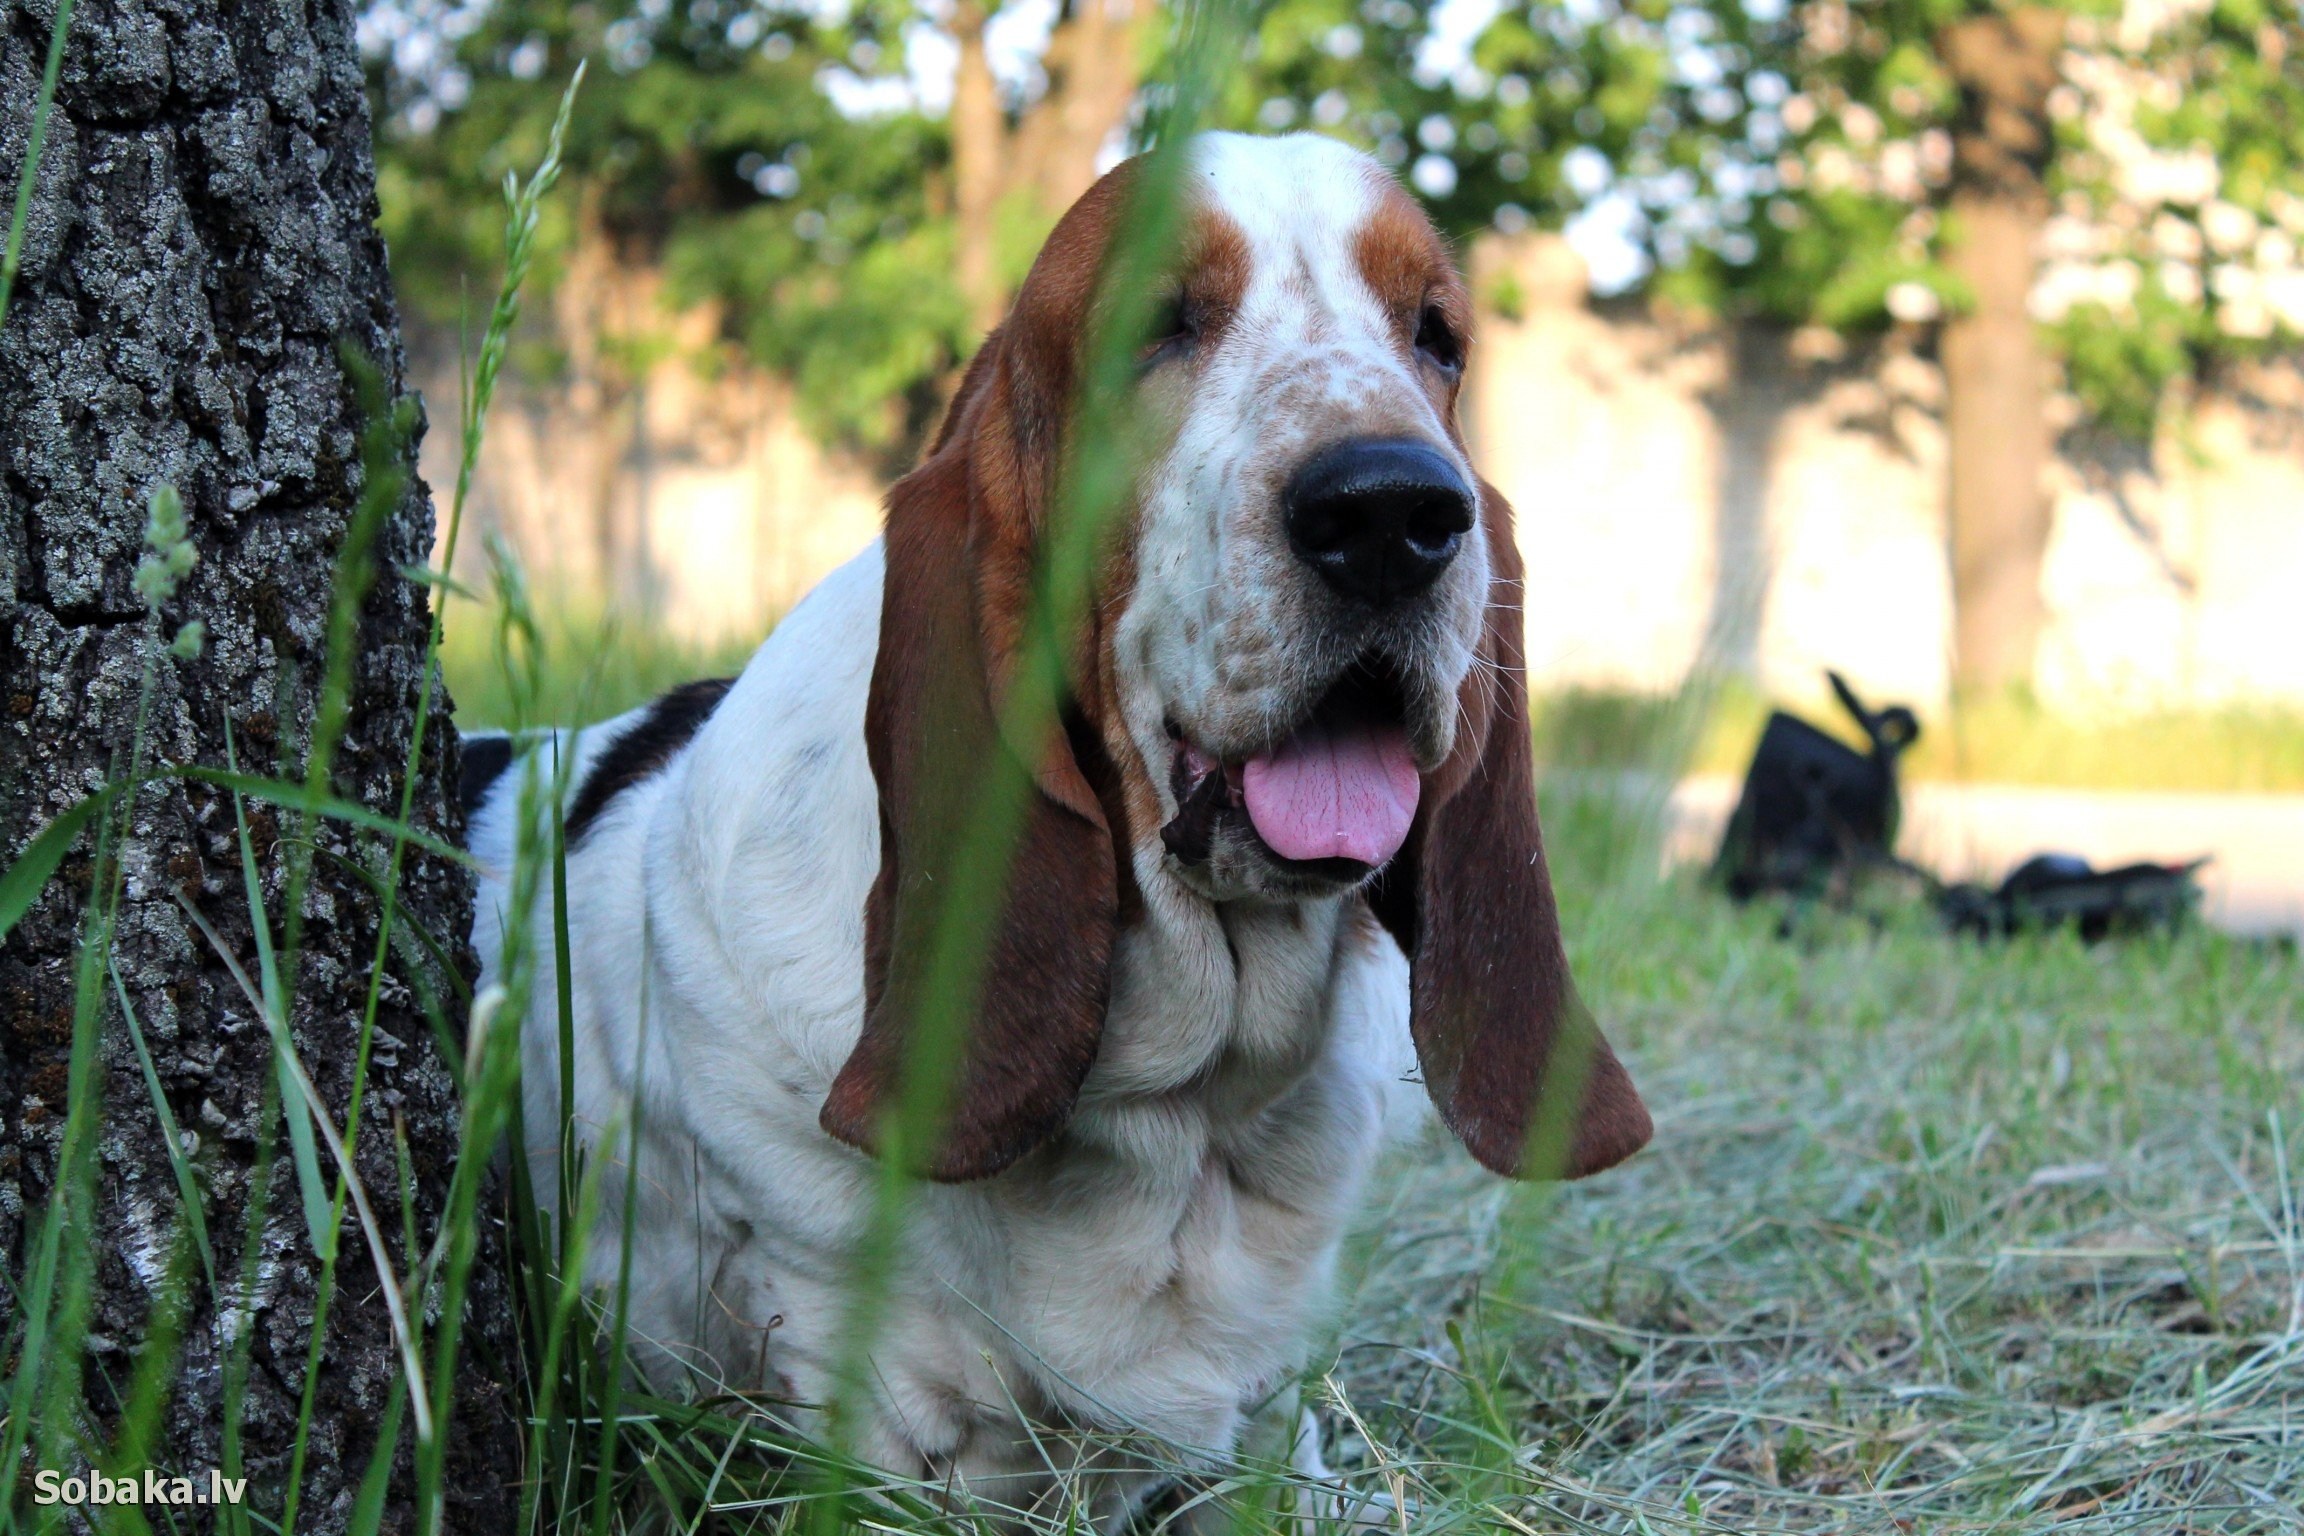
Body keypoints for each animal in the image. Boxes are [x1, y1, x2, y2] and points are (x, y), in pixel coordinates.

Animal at [467, 128, 1649, 1529]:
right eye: (1156, 323)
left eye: (1438, 337)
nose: (1393, 512)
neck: (1182, 1116)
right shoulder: (887, 1449)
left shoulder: (1277, 1439)